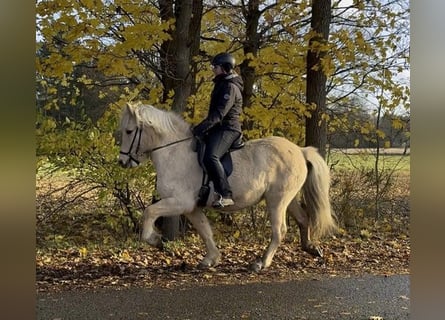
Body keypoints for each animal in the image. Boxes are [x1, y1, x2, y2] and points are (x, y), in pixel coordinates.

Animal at [116, 102, 334, 270]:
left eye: (129, 131)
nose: (122, 162)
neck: (174, 152)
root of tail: (300, 150)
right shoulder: (192, 207)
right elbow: (205, 231)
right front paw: (211, 259)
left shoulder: (180, 202)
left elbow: (149, 212)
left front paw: (156, 241)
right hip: (288, 198)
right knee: (303, 219)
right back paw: (311, 248)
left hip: (277, 200)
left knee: (279, 230)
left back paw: (261, 263)